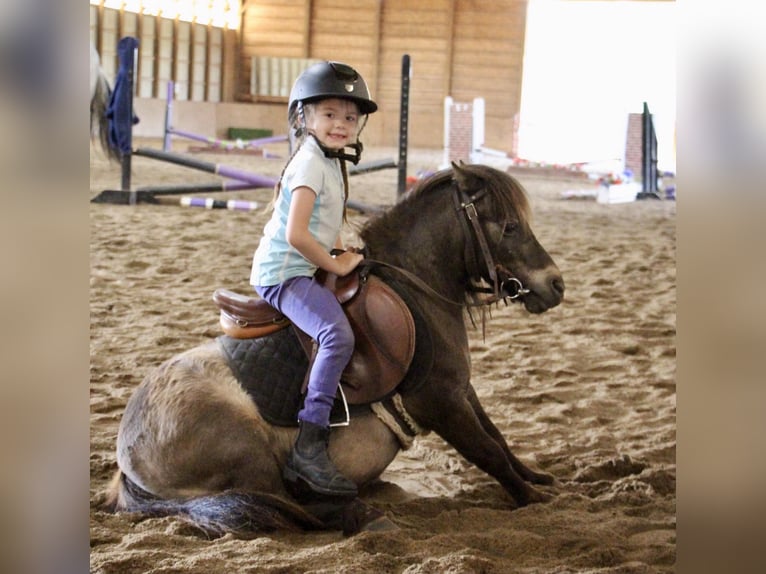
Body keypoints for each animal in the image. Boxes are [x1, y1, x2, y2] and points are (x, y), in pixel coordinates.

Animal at [102, 163, 564, 540]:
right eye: (509, 227)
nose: (555, 284)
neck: (416, 291)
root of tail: (126, 458)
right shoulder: (440, 403)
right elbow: (487, 451)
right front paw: (532, 498)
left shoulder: (461, 389)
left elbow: (497, 438)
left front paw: (537, 478)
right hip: (250, 455)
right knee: (293, 505)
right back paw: (361, 513)